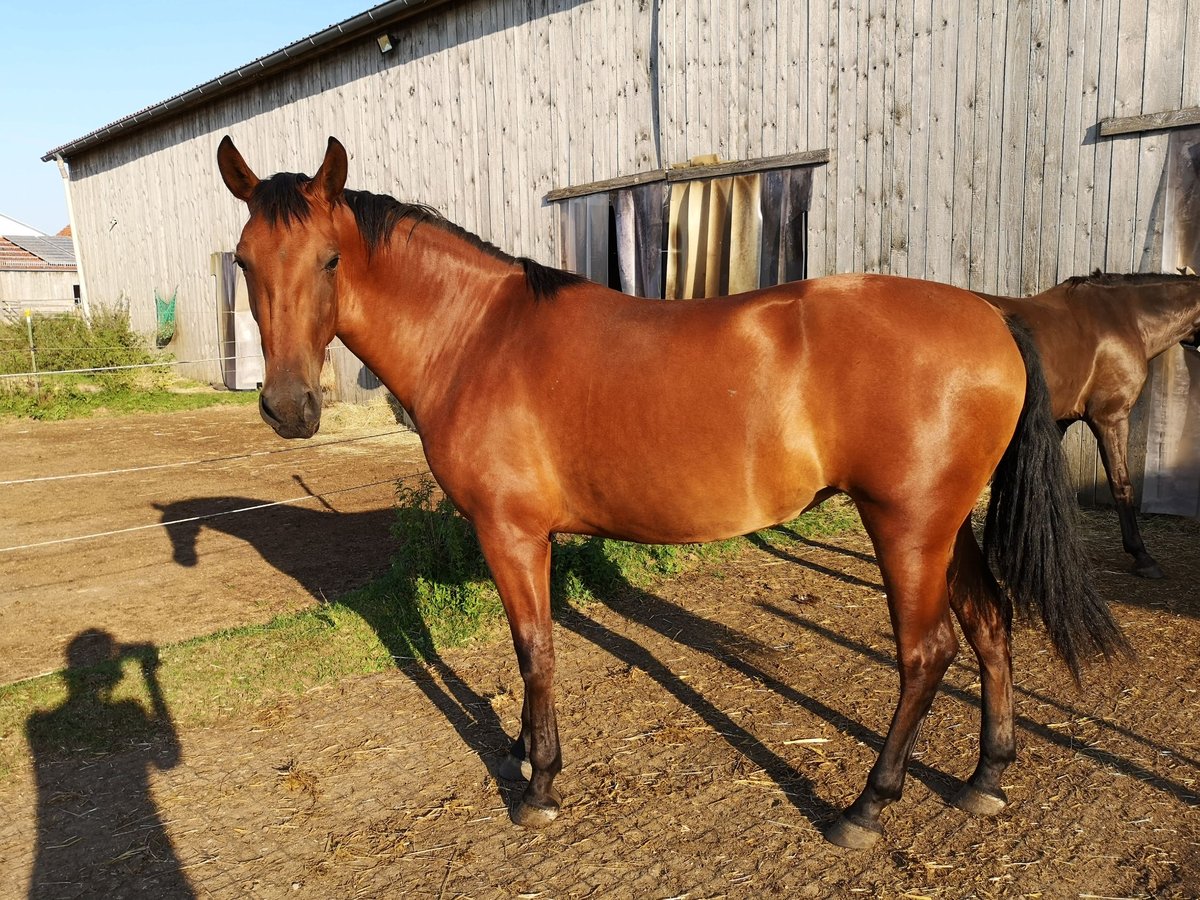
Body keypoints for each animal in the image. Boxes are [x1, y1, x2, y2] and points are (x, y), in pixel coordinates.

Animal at [216, 137, 1123, 849]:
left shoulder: (510, 531)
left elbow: (534, 649)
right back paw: (985, 778)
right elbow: (531, 647)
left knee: (926, 652)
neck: (478, 337)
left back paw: (865, 806)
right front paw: (519, 752)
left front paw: (538, 785)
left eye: (332, 259)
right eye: (246, 262)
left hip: (907, 526)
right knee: (991, 624)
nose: (288, 407)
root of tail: (993, 317)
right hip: (945, 523)